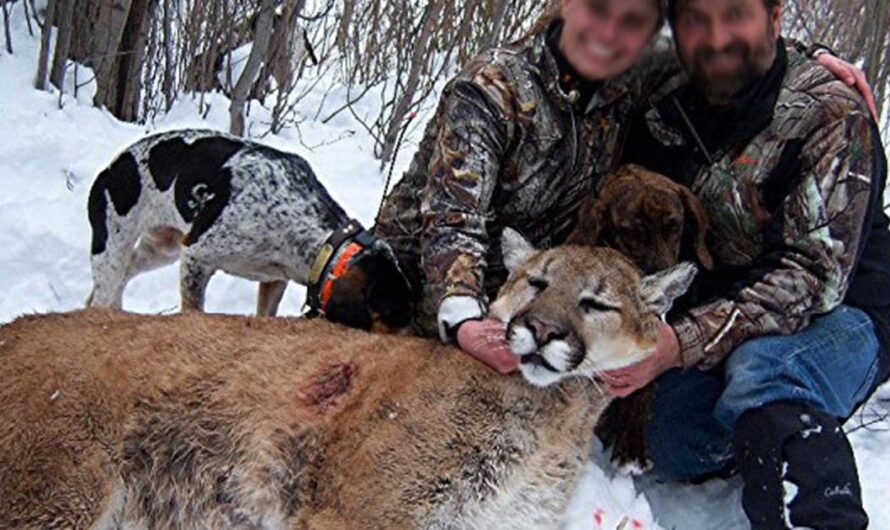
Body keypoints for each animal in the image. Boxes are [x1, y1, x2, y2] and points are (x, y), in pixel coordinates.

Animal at [0, 230, 692, 528]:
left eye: (597, 303)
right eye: (537, 282)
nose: (541, 330)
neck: (554, 419)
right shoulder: (362, 511)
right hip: (59, 492)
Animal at [86, 129, 412, 330]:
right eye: (392, 313)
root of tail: (107, 170)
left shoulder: (274, 280)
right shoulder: (195, 257)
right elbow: (193, 311)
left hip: (160, 250)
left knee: (120, 279)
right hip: (112, 250)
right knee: (100, 295)